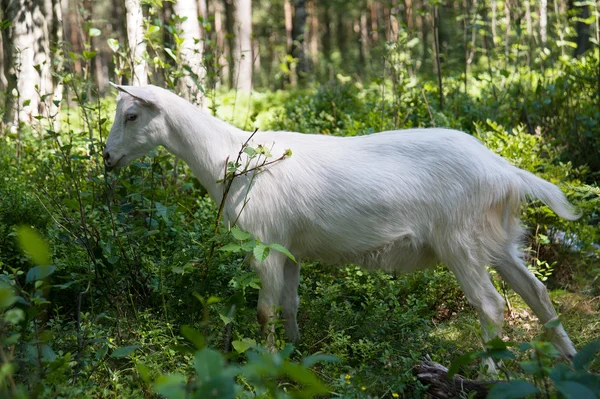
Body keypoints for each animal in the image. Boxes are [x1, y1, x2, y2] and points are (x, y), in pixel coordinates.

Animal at [105, 84, 580, 366]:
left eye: (132, 115)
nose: (107, 159)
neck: (232, 160)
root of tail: (504, 170)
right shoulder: (289, 249)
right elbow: (290, 305)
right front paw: (294, 353)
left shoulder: (265, 245)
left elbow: (263, 311)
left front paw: (268, 364)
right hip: (497, 239)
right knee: (537, 292)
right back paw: (571, 359)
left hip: (459, 241)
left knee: (490, 305)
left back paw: (488, 370)